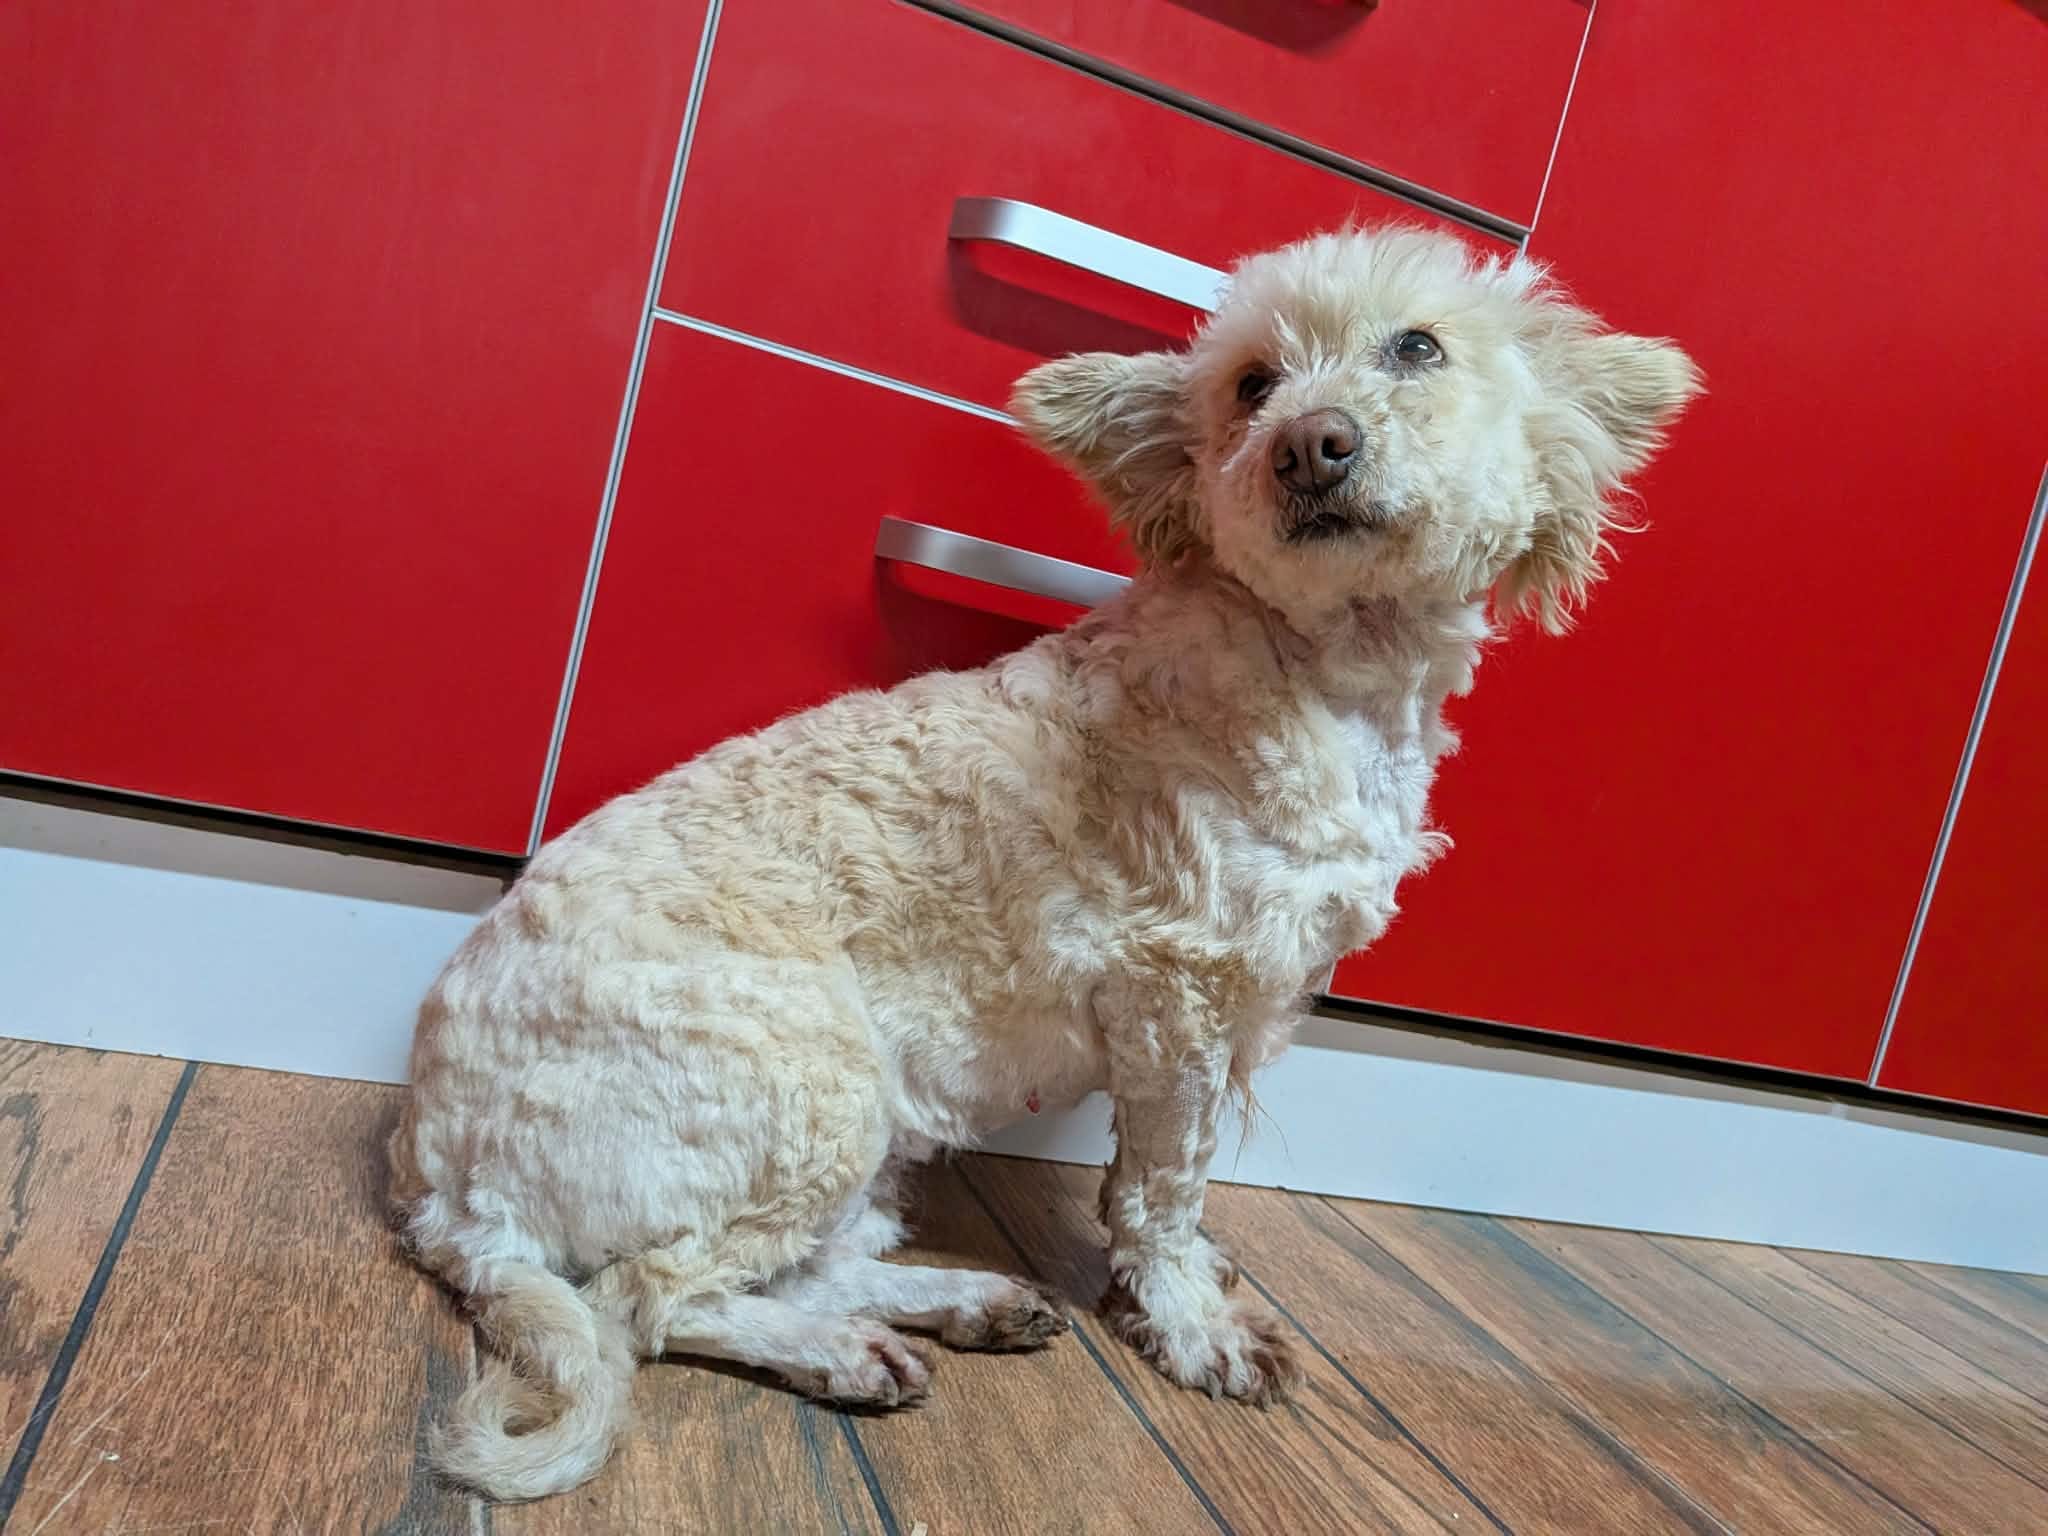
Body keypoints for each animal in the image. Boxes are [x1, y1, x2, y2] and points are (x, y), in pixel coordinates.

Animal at [388, 226, 1699, 1501]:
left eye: (1417, 347)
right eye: (1250, 384)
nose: (1309, 445)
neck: (1324, 671)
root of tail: (440, 1179)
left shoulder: (1237, 1006)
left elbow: (1176, 1183)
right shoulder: (1175, 999)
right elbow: (1159, 1194)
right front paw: (1189, 1321)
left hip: (856, 1139)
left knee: (785, 1268)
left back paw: (961, 1302)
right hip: (807, 1088)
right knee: (650, 1297)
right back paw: (839, 1354)